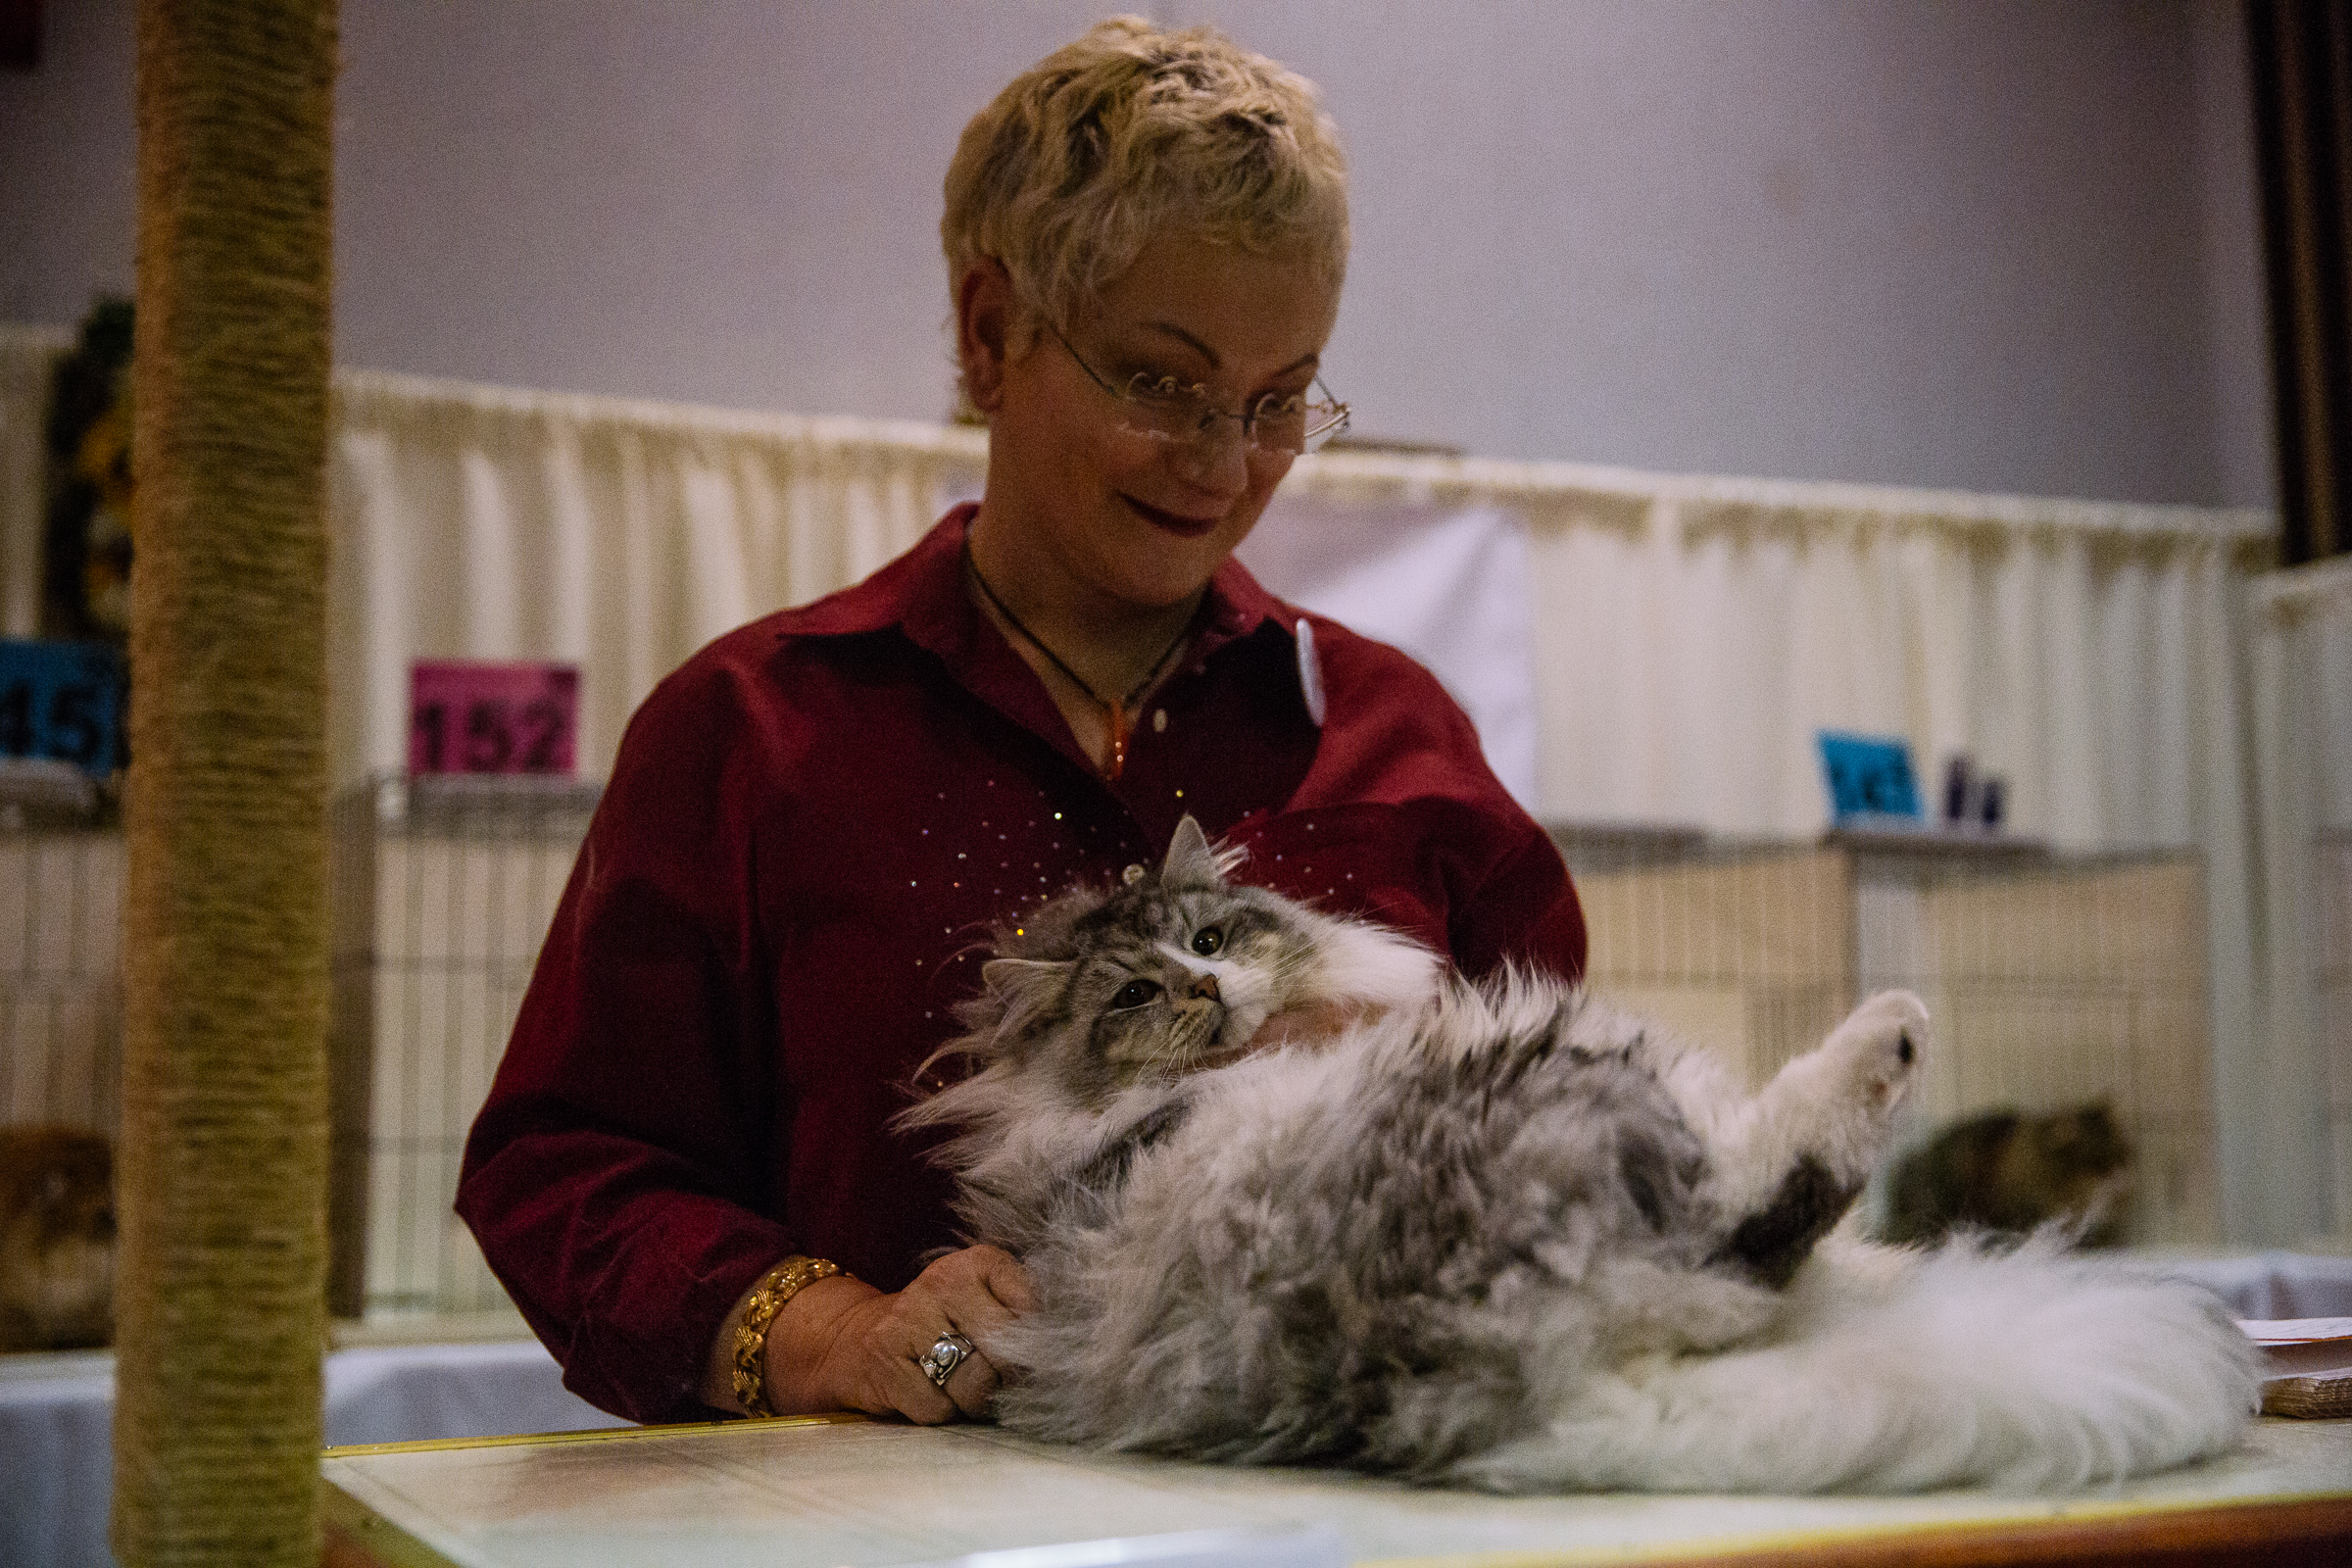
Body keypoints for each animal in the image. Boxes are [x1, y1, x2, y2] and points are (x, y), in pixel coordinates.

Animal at [898, 817, 2258, 1494]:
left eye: (1215, 936)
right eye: (1132, 994)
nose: (1204, 988)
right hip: (1563, 1080)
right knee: (1768, 1196)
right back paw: (1890, 1036)